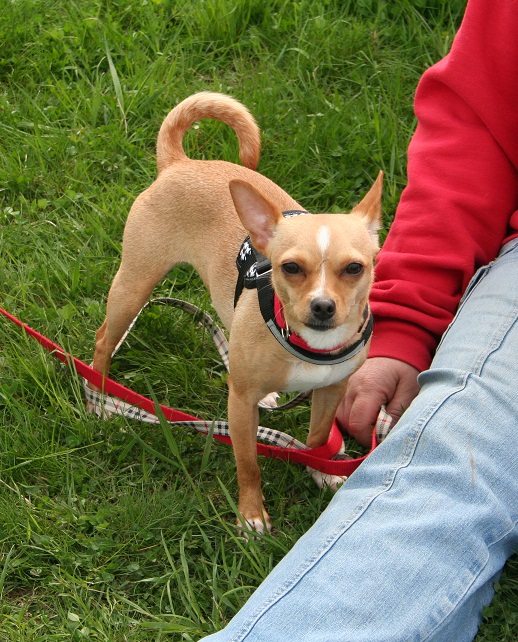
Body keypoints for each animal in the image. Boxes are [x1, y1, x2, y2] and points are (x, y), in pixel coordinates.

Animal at [90, 92, 382, 533]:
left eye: (354, 268)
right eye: (290, 268)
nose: (322, 306)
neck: (308, 346)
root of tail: (181, 163)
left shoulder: (332, 389)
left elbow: (317, 439)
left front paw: (321, 469)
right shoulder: (239, 405)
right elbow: (248, 464)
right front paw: (250, 515)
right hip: (135, 284)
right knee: (104, 339)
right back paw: (99, 398)